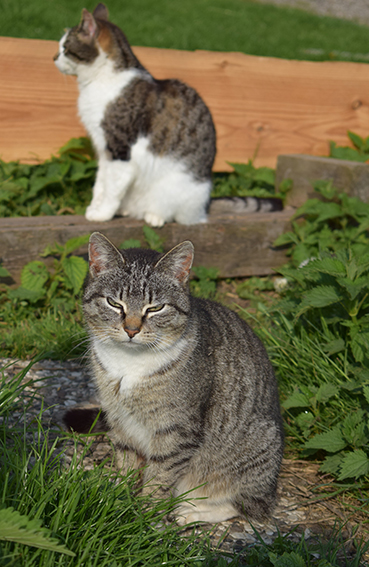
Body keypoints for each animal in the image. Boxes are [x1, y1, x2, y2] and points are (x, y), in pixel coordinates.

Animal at [54, 4, 216, 227]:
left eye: (65, 48)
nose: (53, 58)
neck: (99, 81)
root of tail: (202, 212)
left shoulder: (121, 151)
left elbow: (112, 190)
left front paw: (102, 214)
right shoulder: (104, 150)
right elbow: (100, 184)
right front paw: (95, 207)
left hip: (179, 189)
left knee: (175, 214)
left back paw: (154, 216)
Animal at [65, 233, 284, 524]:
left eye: (156, 308)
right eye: (114, 303)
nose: (131, 329)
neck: (129, 363)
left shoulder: (177, 430)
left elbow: (160, 476)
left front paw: (144, 516)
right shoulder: (119, 420)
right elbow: (126, 463)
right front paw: (117, 499)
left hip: (256, 450)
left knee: (247, 506)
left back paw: (187, 512)